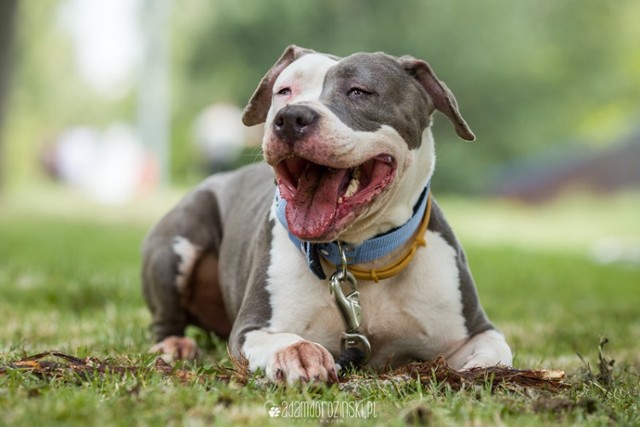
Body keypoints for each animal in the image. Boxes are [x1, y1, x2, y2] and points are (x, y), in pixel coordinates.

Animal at [140, 44, 510, 384]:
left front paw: (482, 372)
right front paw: (298, 353)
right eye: (284, 91)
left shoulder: (475, 330)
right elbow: (282, 339)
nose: (291, 117)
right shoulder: (250, 329)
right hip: (179, 241)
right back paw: (175, 345)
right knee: (164, 320)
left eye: (359, 91)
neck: (361, 254)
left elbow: (496, 351)